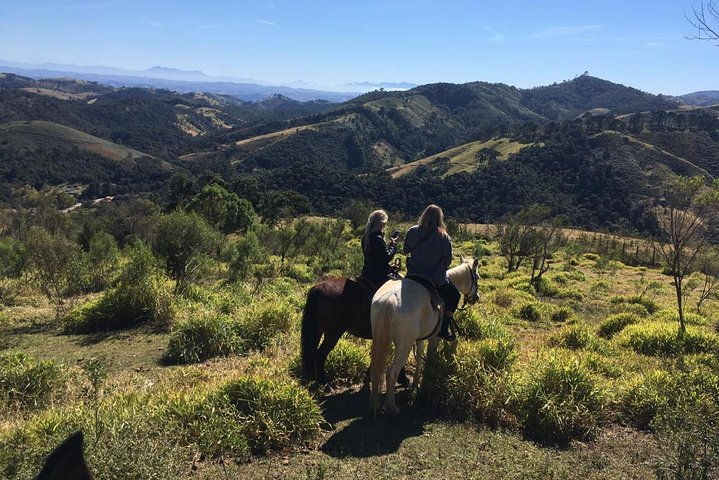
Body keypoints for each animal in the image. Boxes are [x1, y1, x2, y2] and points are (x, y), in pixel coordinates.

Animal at [368, 258, 480, 416]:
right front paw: (425, 386)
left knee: (376, 370)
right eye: (477, 277)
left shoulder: (420, 338)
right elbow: (429, 359)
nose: (475, 298)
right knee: (391, 372)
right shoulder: (434, 338)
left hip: (381, 339)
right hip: (404, 345)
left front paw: (416, 383)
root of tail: (389, 299)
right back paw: (392, 407)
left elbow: (420, 356)